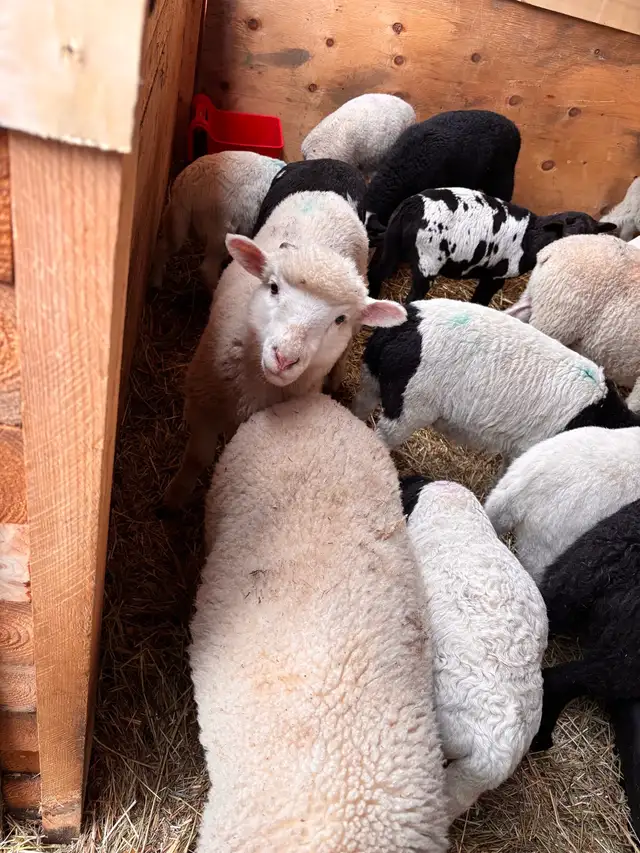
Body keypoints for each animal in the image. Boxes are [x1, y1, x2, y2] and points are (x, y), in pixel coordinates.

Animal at [151, 151, 285, 290]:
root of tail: (186, 186)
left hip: (175, 219)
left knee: (163, 247)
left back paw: (156, 282)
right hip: (219, 229)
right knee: (207, 269)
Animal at [163, 191, 406, 509]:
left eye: (340, 319)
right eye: (274, 288)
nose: (285, 358)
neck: (254, 388)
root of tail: (329, 194)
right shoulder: (203, 404)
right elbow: (196, 458)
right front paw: (173, 497)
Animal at [352, 298, 639, 462]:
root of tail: (405, 326)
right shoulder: (528, 448)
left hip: (371, 376)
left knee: (359, 407)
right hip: (410, 406)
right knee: (382, 437)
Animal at [367, 187, 616, 302]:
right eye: (566, 236)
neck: (531, 238)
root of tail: (411, 206)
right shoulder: (496, 275)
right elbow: (481, 300)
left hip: (393, 246)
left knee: (377, 272)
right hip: (428, 260)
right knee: (412, 297)